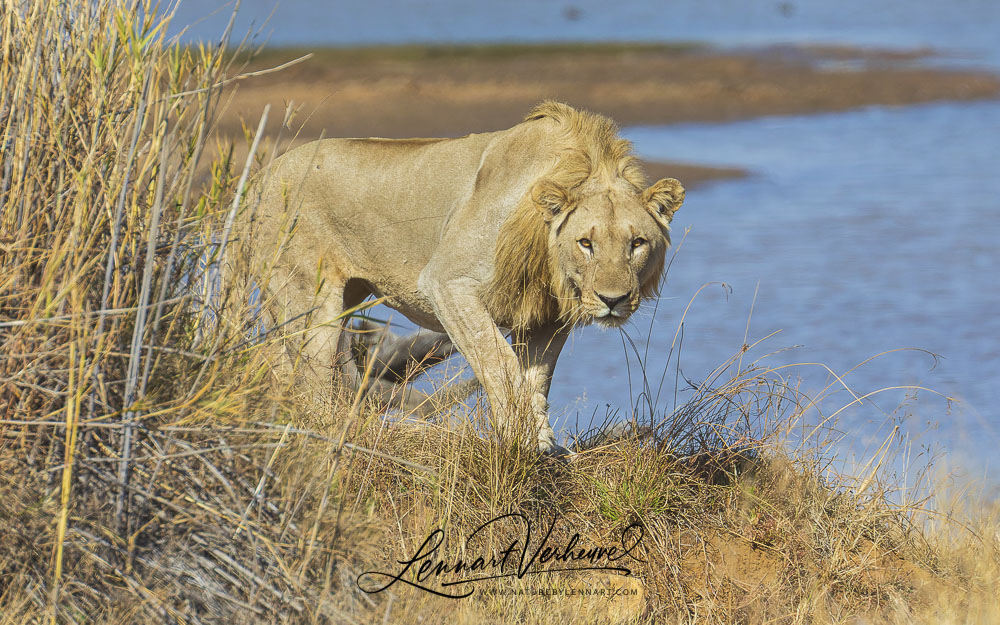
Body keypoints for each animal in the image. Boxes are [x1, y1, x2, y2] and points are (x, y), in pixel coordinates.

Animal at [252, 102, 688, 454]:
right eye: (586, 243)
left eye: (637, 243)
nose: (613, 300)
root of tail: (265, 172)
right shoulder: (447, 282)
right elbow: (499, 362)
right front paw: (522, 440)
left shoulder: (547, 316)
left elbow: (536, 378)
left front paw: (543, 443)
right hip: (308, 298)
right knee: (310, 381)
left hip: (339, 297)